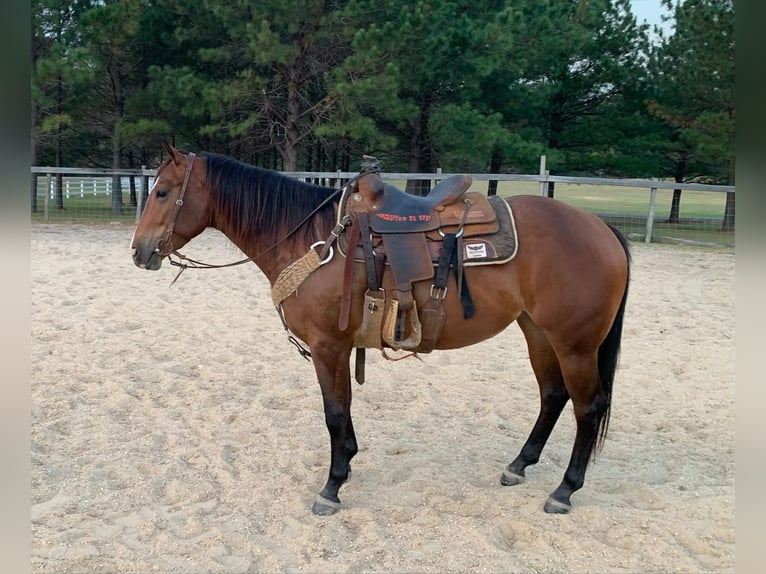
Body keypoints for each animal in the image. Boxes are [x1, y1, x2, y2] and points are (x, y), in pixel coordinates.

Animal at [130, 144, 630, 516]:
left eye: (162, 193)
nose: (138, 251)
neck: (315, 241)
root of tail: (601, 228)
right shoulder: (340, 347)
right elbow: (344, 409)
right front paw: (347, 464)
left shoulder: (328, 346)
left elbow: (334, 412)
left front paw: (331, 487)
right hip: (538, 334)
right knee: (552, 396)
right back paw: (518, 465)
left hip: (575, 344)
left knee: (587, 408)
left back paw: (564, 491)